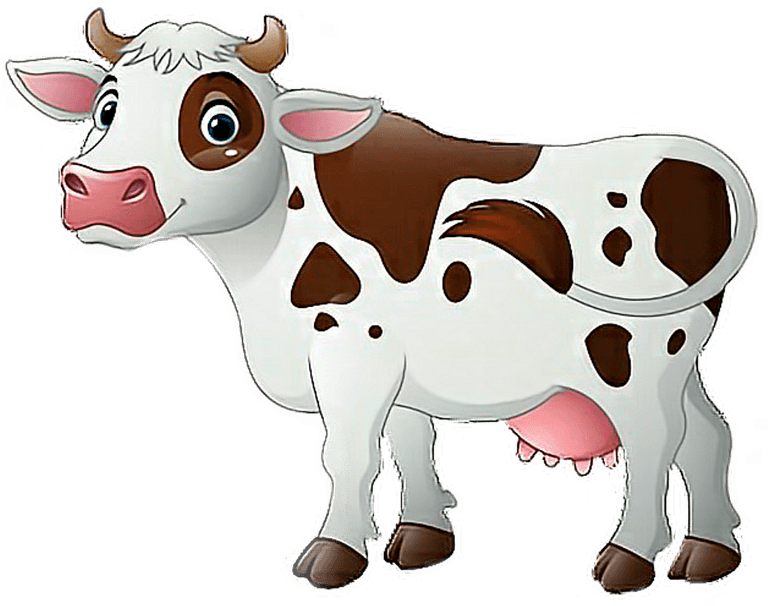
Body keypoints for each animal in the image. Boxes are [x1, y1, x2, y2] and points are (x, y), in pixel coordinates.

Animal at [2, 7, 760, 595]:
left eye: (221, 122)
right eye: (106, 107)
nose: (101, 191)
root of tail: (692, 153)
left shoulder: (349, 349)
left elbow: (349, 454)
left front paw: (334, 555)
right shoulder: (395, 364)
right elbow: (409, 441)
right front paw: (423, 542)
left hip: (632, 358)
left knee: (654, 441)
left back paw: (628, 561)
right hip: (676, 356)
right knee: (708, 433)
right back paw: (708, 556)